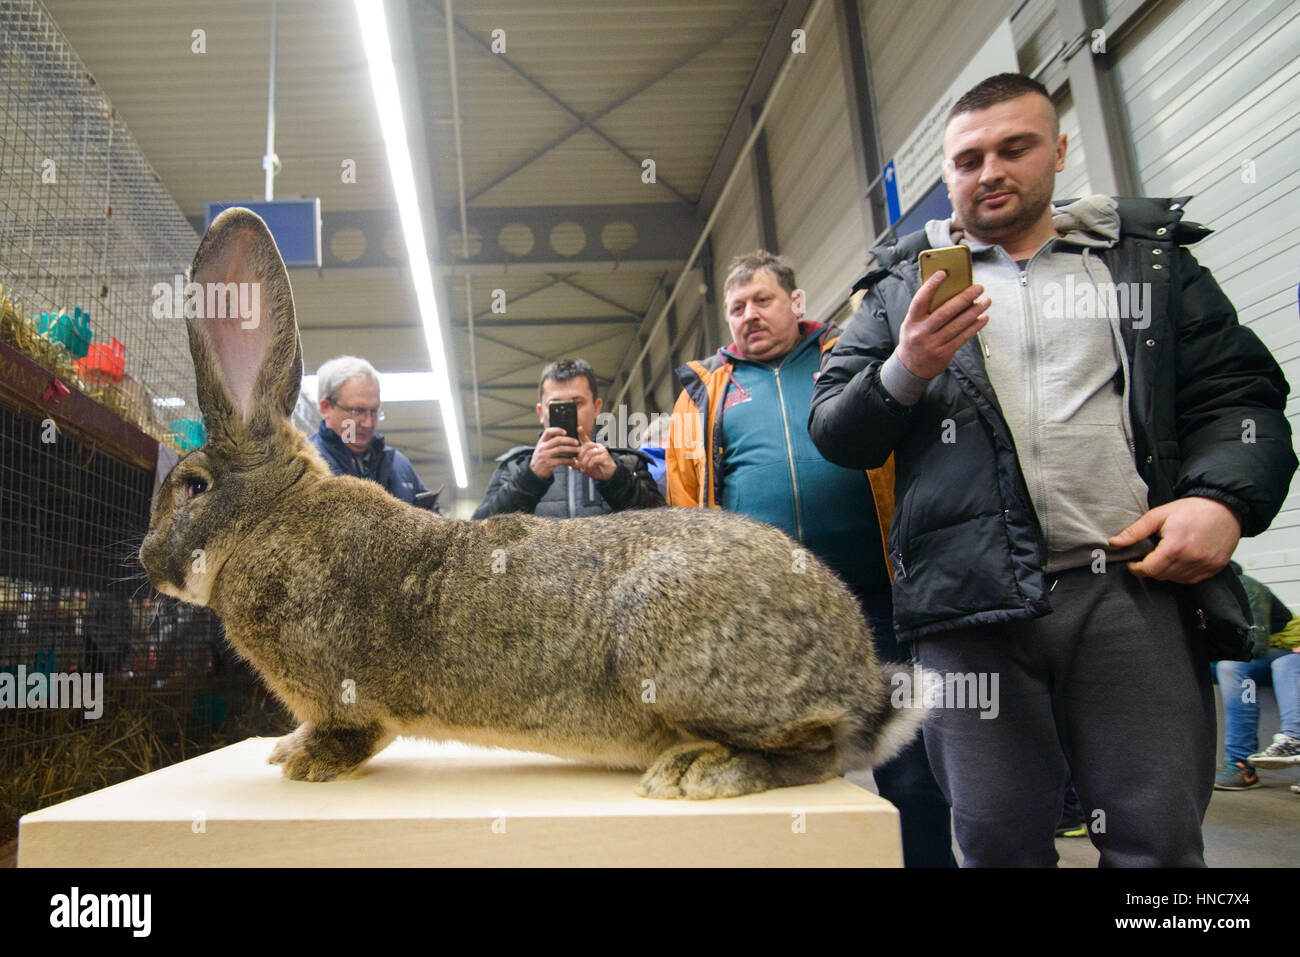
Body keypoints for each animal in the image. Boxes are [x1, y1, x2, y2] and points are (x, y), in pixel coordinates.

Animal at [139, 208, 923, 800]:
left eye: (194, 486)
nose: (148, 561)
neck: (268, 519)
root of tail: (863, 676)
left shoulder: (346, 693)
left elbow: (352, 732)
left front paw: (305, 762)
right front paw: (284, 748)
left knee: (818, 750)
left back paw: (700, 772)